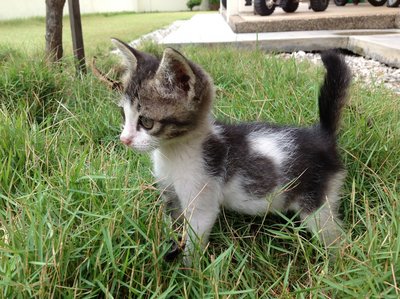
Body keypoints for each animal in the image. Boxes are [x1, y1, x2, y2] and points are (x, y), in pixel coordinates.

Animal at [111, 38, 352, 266]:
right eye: (123, 115)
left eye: (147, 122)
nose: (124, 140)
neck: (173, 152)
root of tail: (322, 135)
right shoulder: (170, 192)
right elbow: (174, 222)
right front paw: (170, 246)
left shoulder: (202, 198)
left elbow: (195, 237)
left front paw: (190, 271)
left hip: (317, 201)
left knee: (336, 238)